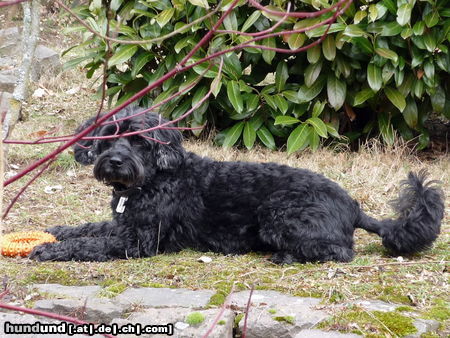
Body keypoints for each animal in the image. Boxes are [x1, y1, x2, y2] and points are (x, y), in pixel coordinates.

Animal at [29, 107, 444, 262]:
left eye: (140, 141)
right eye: (108, 136)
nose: (114, 161)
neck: (153, 179)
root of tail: (354, 206)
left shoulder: (140, 241)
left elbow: (93, 243)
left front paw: (47, 250)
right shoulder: (124, 224)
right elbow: (88, 228)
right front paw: (56, 232)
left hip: (279, 214)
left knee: (339, 251)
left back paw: (286, 256)